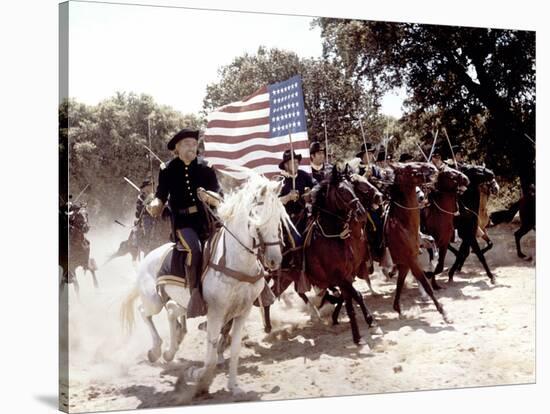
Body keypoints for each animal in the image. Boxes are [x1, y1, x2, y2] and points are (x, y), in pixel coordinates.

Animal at [121, 173, 294, 396]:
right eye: (258, 221)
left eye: (279, 219)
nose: (274, 260)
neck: (236, 262)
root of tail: (149, 257)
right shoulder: (216, 312)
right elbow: (211, 355)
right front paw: (198, 376)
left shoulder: (242, 311)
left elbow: (234, 349)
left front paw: (234, 386)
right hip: (154, 300)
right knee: (144, 311)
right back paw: (156, 350)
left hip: (183, 303)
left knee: (171, 310)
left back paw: (168, 352)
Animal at [384, 163, 452, 324]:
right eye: (409, 167)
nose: (432, 168)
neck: (402, 224)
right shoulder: (411, 260)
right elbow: (426, 284)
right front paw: (444, 314)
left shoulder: (405, 262)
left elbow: (400, 284)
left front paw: (398, 309)